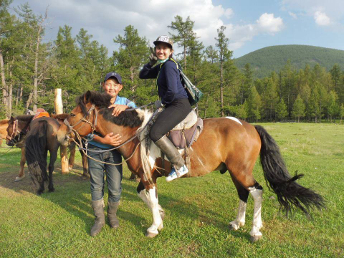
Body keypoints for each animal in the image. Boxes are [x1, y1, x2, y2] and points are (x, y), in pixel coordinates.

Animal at [57, 91, 324, 243]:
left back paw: (254, 231)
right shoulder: (146, 177)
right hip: (235, 172)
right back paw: (237, 223)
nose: (61, 136)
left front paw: (154, 226)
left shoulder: (147, 176)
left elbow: (149, 197)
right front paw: (160, 218)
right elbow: (147, 197)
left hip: (241, 171)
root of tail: (250, 126)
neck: (135, 133)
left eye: (72, 114)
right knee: (243, 193)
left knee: (256, 192)